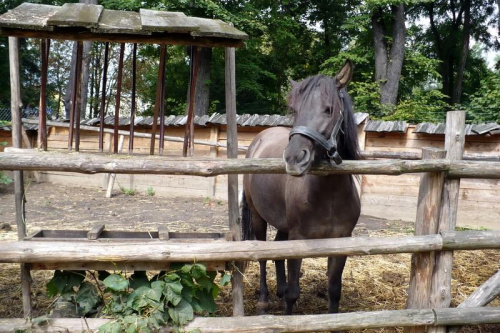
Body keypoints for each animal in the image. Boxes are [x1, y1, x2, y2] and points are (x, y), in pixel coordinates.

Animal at [241, 59, 360, 316]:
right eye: (295, 110)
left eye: (329, 109)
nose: (294, 158)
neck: (329, 194)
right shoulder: (299, 238)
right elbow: (293, 294)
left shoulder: (341, 241)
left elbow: (334, 290)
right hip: (258, 217)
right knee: (263, 256)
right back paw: (264, 301)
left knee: (277, 250)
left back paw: (279, 289)